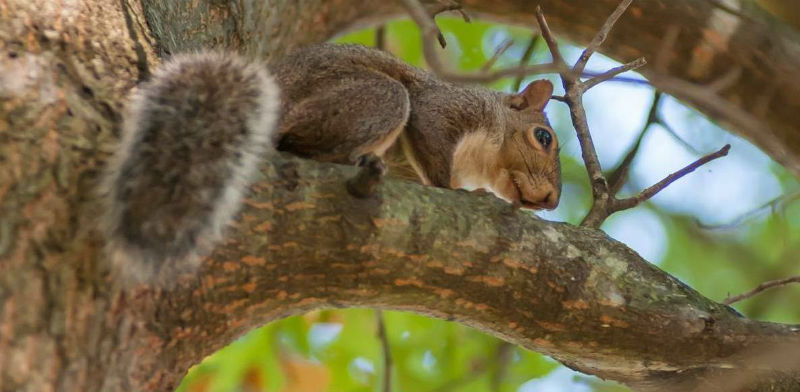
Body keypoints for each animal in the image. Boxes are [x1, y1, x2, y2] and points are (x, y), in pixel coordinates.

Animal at [101, 43, 564, 284]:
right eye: (543, 137)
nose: (551, 201)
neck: (481, 153)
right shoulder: (442, 110)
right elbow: (432, 143)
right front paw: (453, 188)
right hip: (381, 98)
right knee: (298, 144)